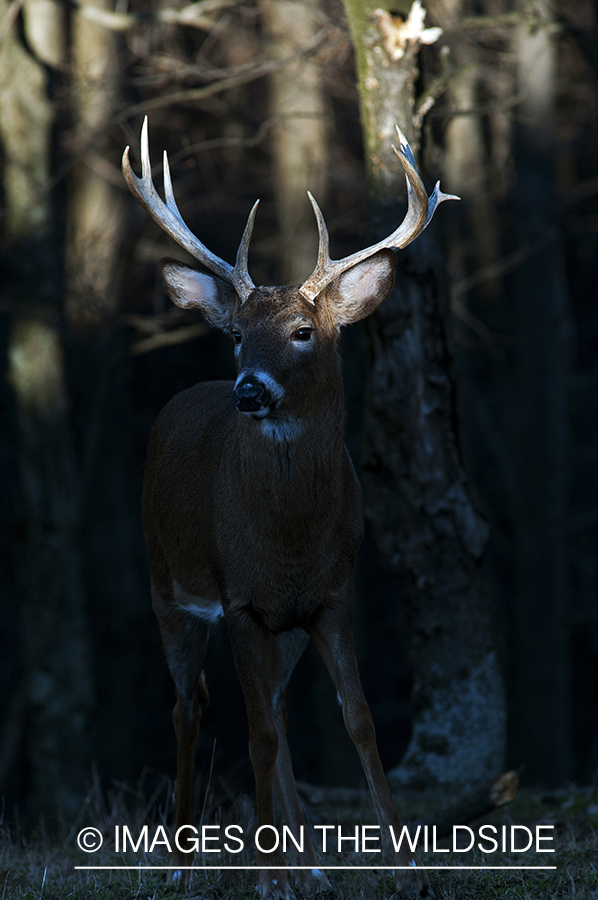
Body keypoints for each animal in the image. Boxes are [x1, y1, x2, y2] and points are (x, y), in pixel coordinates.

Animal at [123, 116, 460, 896]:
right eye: (237, 335)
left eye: (304, 332)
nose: (249, 389)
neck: (290, 539)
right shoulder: (240, 599)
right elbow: (256, 733)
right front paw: (268, 876)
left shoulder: (332, 594)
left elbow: (358, 720)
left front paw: (407, 865)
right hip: (166, 586)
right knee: (189, 708)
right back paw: (184, 861)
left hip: (284, 629)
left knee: (269, 703)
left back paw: (310, 861)